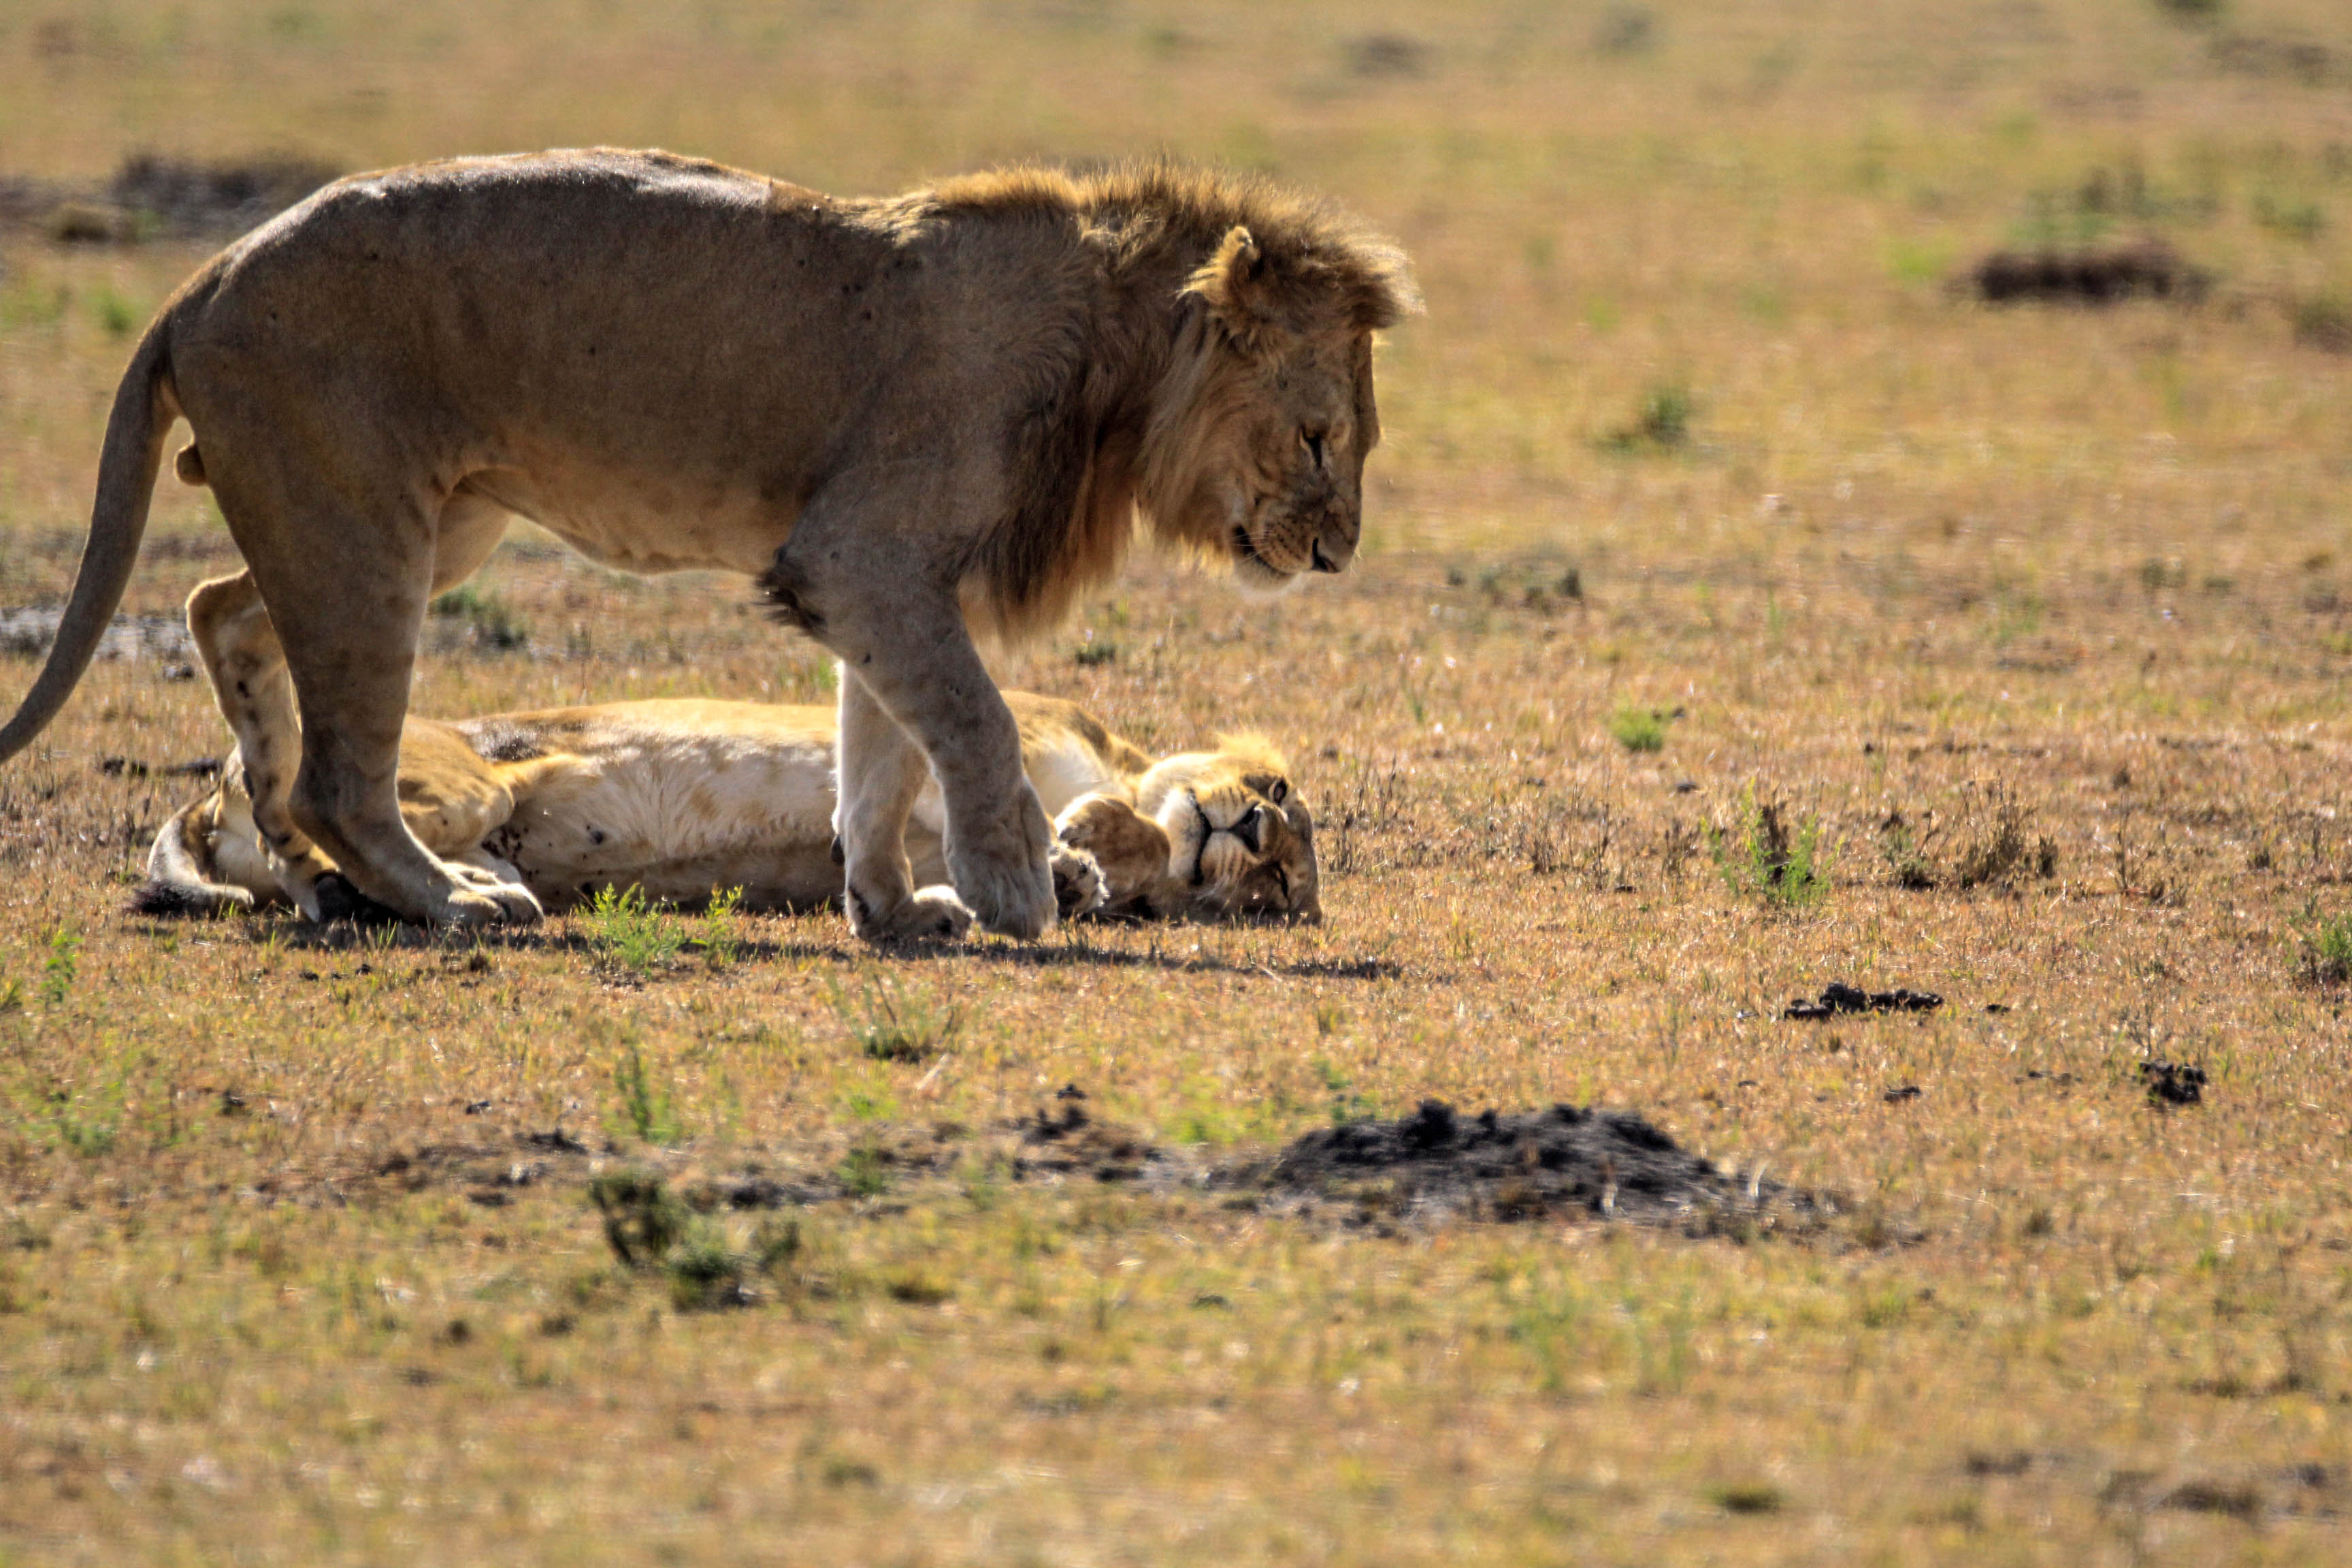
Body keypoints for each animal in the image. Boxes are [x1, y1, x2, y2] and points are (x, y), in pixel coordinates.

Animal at [0, 146, 1411, 940]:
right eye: (1321, 437)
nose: (1338, 555)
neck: (1110, 361)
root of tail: (201, 279)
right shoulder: (866, 557)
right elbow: (975, 726)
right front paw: (1020, 887)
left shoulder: (880, 578)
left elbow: (879, 755)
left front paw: (894, 909)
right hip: (369, 533)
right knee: (340, 772)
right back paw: (452, 899)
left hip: (428, 521)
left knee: (219, 608)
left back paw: (295, 819)